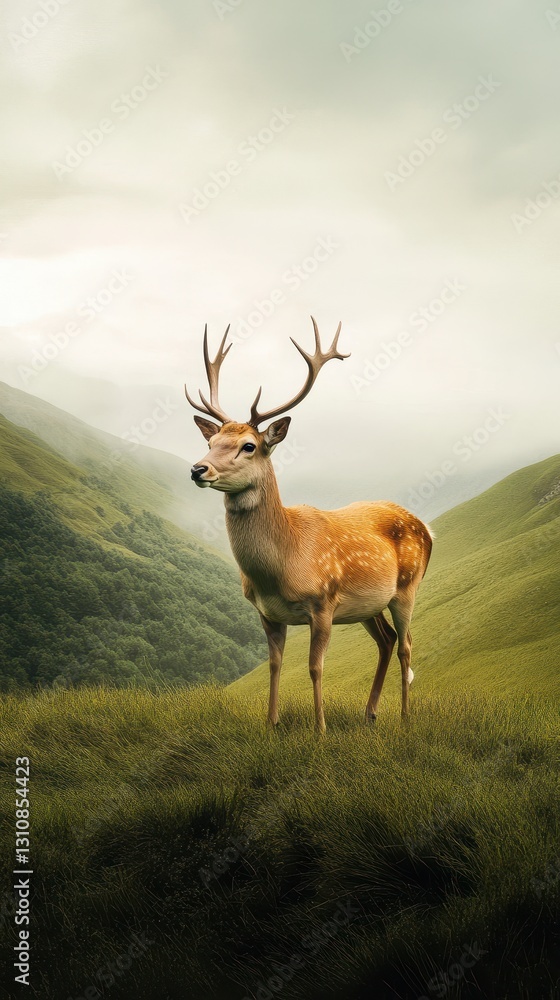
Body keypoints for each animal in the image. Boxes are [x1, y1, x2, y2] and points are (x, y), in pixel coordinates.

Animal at [186, 318, 433, 733]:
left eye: (249, 445)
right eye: (212, 440)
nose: (197, 469)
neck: (279, 569)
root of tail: (428, 529)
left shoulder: (323, 602)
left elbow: (315, 667)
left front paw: (320, 730)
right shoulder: (266, 613)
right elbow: (275, 665)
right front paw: (271, 724)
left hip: (407, 586)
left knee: (407, 644)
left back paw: (403, 717)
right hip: (368, 606)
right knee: (386, 640)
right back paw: (370, 713)